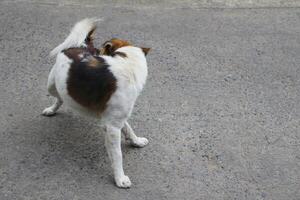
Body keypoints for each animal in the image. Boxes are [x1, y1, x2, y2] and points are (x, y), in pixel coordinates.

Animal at [42, 18, 150, 188]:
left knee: (62, 97)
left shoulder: (115, 118)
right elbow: (117, 155)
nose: (98, 52)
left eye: (100, 52)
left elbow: (129, 128)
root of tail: (80, 45)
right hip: (52, 85)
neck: (128, 63)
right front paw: (120, 179)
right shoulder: (112, 127)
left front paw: (136, 141)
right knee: (59, 98)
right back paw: (51, 109)